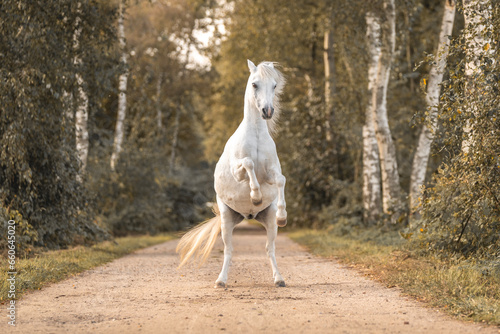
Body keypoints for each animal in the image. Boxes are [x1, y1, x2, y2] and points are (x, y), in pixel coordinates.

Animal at [176, 59, 288, 288]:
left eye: (274, 85)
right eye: (254, 84)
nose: (268, 111)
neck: (256, 136)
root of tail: (248, 216)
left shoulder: (270, 175)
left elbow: (281, 180)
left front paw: (283, 215)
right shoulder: (240, 171)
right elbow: (248, 163)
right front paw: (255, 196)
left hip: (268, 220)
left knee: (269, 249)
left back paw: (279, 279)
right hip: (227, 220)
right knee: (229, 250)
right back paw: (221, 281)